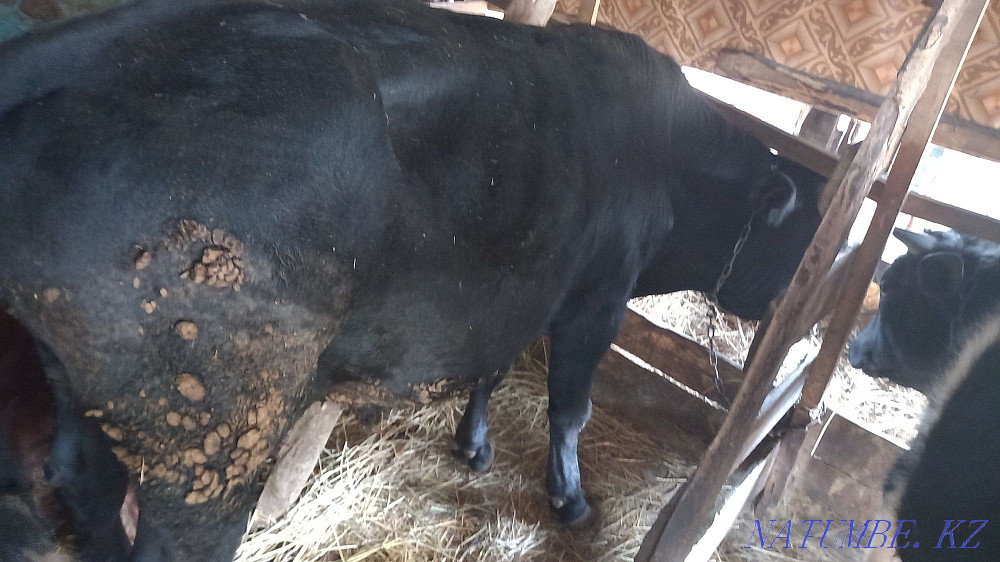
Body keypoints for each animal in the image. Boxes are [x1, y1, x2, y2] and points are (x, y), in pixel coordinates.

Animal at [0, 0, 825, 558]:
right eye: (801, 241)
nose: (815, 325)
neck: (669, 159)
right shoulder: (598, 296)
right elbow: (570, 407)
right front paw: (569, 499)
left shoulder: (517, 284)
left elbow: (492, 365)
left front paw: (474, 445)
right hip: (215, 439)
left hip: (88, 386)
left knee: (81, 478)